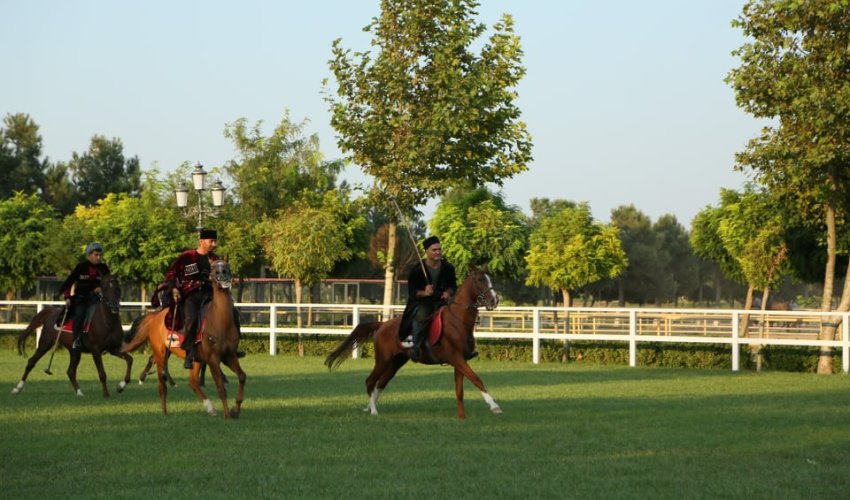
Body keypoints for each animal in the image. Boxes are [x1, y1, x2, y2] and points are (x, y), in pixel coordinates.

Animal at [121, 260, 245, 420]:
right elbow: (221, 387)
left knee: (192, 382)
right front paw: (228, 415)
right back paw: (165, 411)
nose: (223, 274)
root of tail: (155, 317)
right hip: (161, 354)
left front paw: (235, 410)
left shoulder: (229, 356)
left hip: (195, 359)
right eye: (213, 268)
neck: (220, 321)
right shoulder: (213, 359)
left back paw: (210, 408)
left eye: (226, 265)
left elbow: (242, 376)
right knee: (162, 383)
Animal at [322, 266, 496, 418]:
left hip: (396, 362)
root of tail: (382, 324)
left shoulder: (460, 360)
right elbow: (476, 379)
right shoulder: (456, 358)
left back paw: (370, 407)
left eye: (490, 278)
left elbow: (460, 390)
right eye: (480, 280)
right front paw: (494, 406)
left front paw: (461, 417)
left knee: (381, 383)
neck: (458, 320)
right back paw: (373, 411)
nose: (495, 300)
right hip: (383, 360)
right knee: (371, 381)